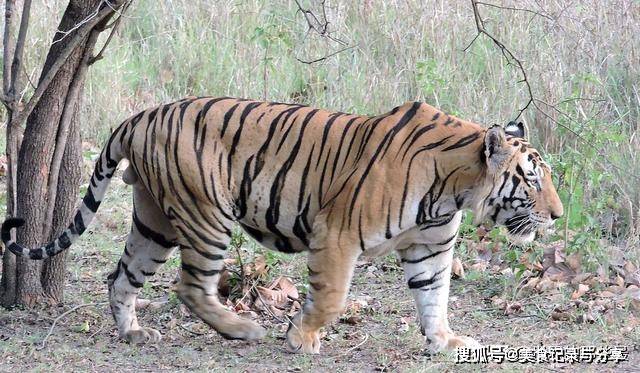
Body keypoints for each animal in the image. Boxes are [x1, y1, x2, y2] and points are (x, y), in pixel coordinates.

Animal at [1, 96, 560, 352]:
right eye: (532, 180)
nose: (557, 216)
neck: (454, 190)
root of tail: (140, 116)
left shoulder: (431, 249)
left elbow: (434, 296)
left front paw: (446, 341)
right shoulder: (337, 235)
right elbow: (331, 297)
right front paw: (300, 337)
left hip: (153, 221)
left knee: (120, 276)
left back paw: (134, 333)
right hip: (206, 215)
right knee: (190, 285)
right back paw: (242, 329)